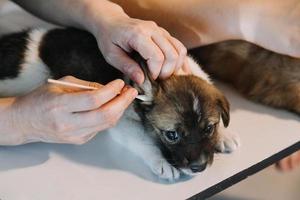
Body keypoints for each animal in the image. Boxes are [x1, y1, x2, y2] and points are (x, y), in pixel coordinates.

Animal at [0, 27, 239, 181]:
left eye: (209, 128)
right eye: (171, 135)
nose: (199, 168)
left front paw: (224, 136)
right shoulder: (122, 122)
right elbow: (144, 141)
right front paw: (160, 162)